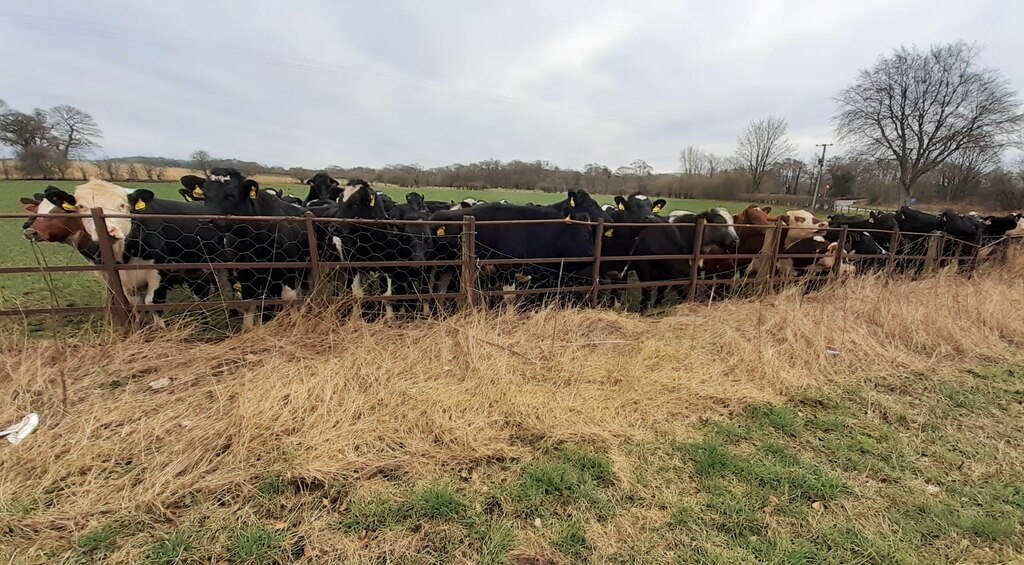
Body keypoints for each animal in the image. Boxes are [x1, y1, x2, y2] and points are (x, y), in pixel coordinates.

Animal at [180, 167, 307, 331]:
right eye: (205, 195)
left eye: (231, 196)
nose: (205, 219)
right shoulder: (246, 274)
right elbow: (249, 305)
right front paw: (249, 329)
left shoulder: (288, 270)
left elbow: (290, 299)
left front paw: (295, 324)